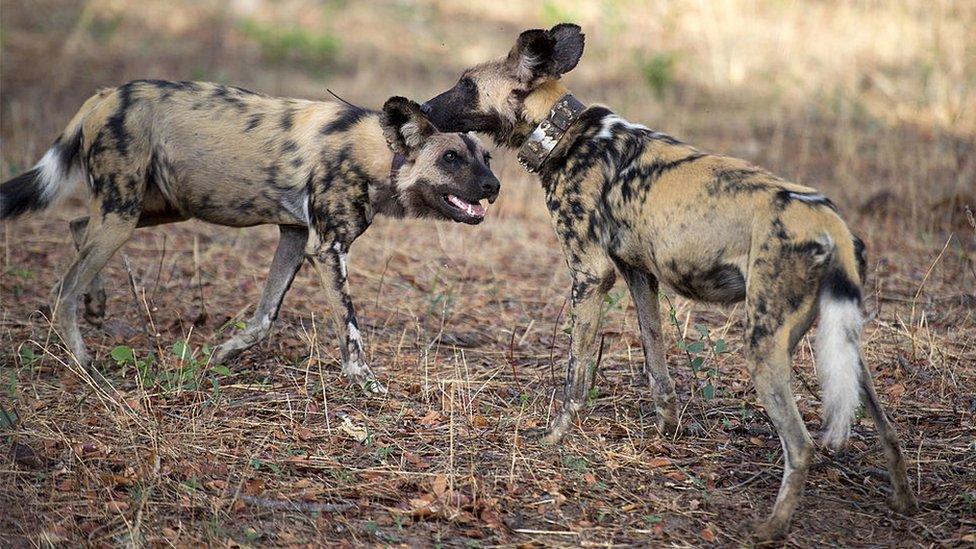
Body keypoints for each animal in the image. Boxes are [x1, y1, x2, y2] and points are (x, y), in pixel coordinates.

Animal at [0, 79, 500, 392]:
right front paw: (364, 380)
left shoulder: (295, 238)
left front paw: (221, 353)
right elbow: (351, 330)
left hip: (154, 208)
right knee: (64, 284)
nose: (494, 187)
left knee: (76, 227)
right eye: (451, 158)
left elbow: (264, 319)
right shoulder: (327, 250)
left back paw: (97, 303)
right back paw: (83, 363)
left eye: (487, 158)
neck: (378, 156)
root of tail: (104, 96)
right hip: (126, 214)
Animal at [424, 24, 920, 536]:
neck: (563, 134)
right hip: (844, 343)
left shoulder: (591, 275)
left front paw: (554, 438)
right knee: (887, 428)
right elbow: (656, 363)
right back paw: (903, 503)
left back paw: (770, 529)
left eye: (467, 84)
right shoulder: (640, 277)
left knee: (801, 446)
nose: (422, 109)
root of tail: (830, 222)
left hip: (763, 342)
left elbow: (576, 377)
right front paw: (667, 432)